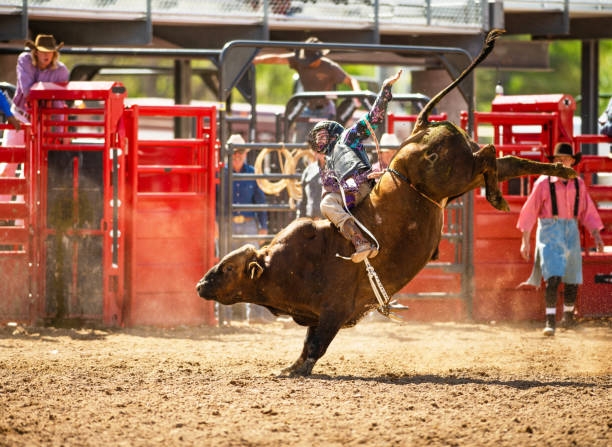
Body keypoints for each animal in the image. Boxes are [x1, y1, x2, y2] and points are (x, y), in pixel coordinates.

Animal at [197, 29, 580, 376]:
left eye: (227, 268)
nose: (200, 284)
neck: (284, 263)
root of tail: (420, 130)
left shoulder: (333, 310)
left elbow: (315, 345)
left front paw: (294, 369)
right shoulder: (318, 314)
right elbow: (309, 342)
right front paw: (291, 367)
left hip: (453, 173)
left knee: (489, 151)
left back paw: (499, 197)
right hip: (462, 177)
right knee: (505, 161)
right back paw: (559, 171)